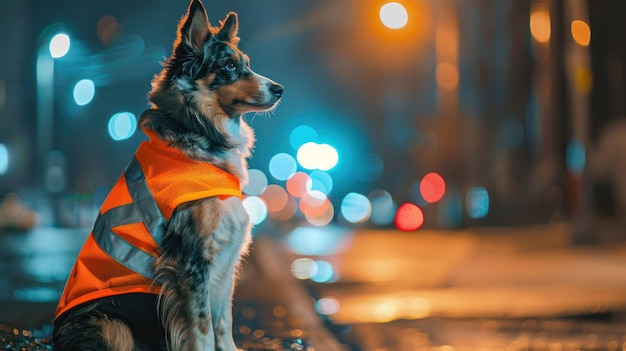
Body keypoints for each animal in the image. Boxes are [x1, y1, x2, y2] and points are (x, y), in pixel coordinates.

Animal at [53, 0, 282, 350]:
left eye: (247, 64)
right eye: (229, 66)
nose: (279, 89)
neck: (196, 128)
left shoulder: (223, 263)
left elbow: (223, 324)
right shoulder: (191, 261)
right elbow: (202, 329)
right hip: (112, 325)